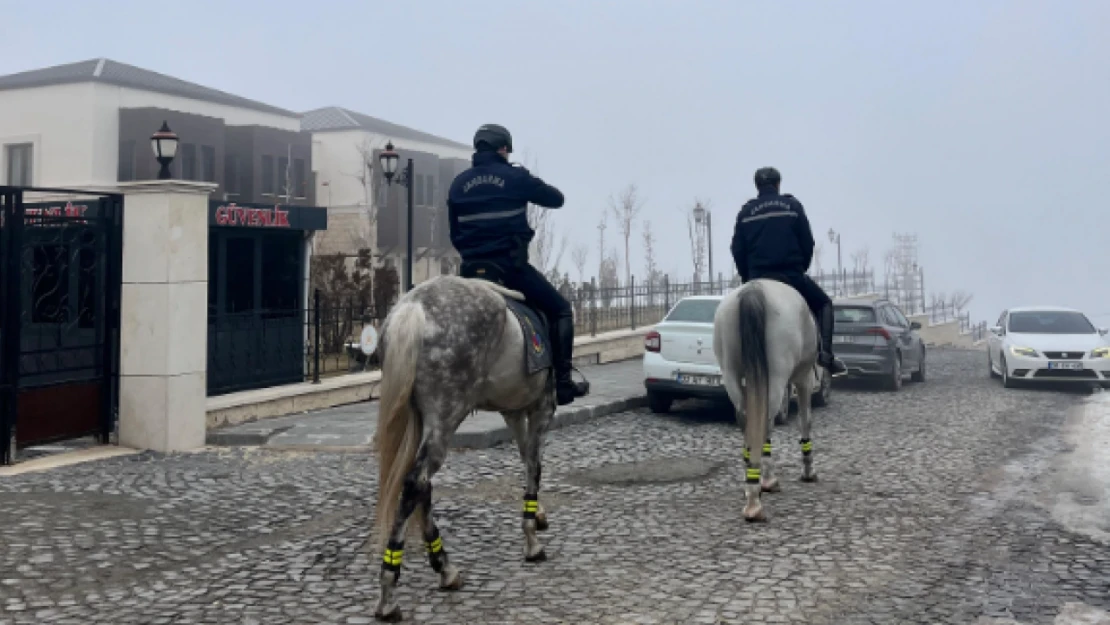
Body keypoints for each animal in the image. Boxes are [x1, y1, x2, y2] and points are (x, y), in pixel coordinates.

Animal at [370, 277, 555, 621]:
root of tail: (414, 307)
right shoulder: (542, 407)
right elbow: (535, 464)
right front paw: (532, 540)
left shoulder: (513, 411)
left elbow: (526, 457)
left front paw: (538, 515)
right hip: (447, 414)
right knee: (416, 482)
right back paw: (389, 592)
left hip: (423, 418)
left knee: (421, 485)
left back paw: (444, 567)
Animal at [714, 278, 821, 523]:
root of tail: (754, 290)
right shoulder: (804, 378)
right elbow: (805, 421)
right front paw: (808, 470)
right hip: (778, 373)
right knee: (767, 421)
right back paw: (759, 493)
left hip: (730, 373)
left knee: (746, 420)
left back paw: (750, 485)